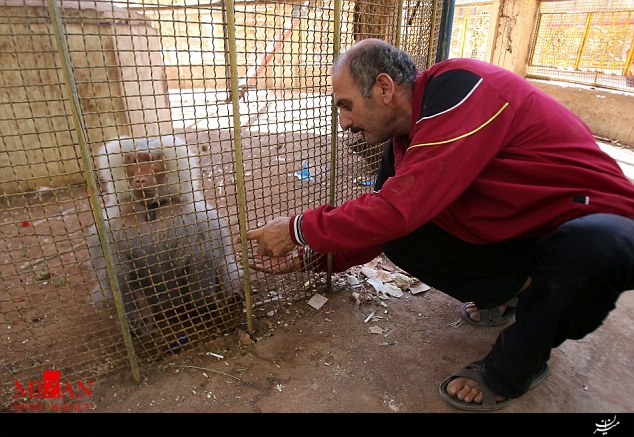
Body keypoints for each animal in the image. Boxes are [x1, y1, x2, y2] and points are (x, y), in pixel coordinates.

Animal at [89, 134, 244, 344]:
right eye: (135, 161)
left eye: (151, 160)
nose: (140, 179)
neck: (152, 210)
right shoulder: (109, 229)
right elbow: (119, 277)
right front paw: (138, 321)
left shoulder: (198, 219)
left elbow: (201, 258)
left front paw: (206, 306)